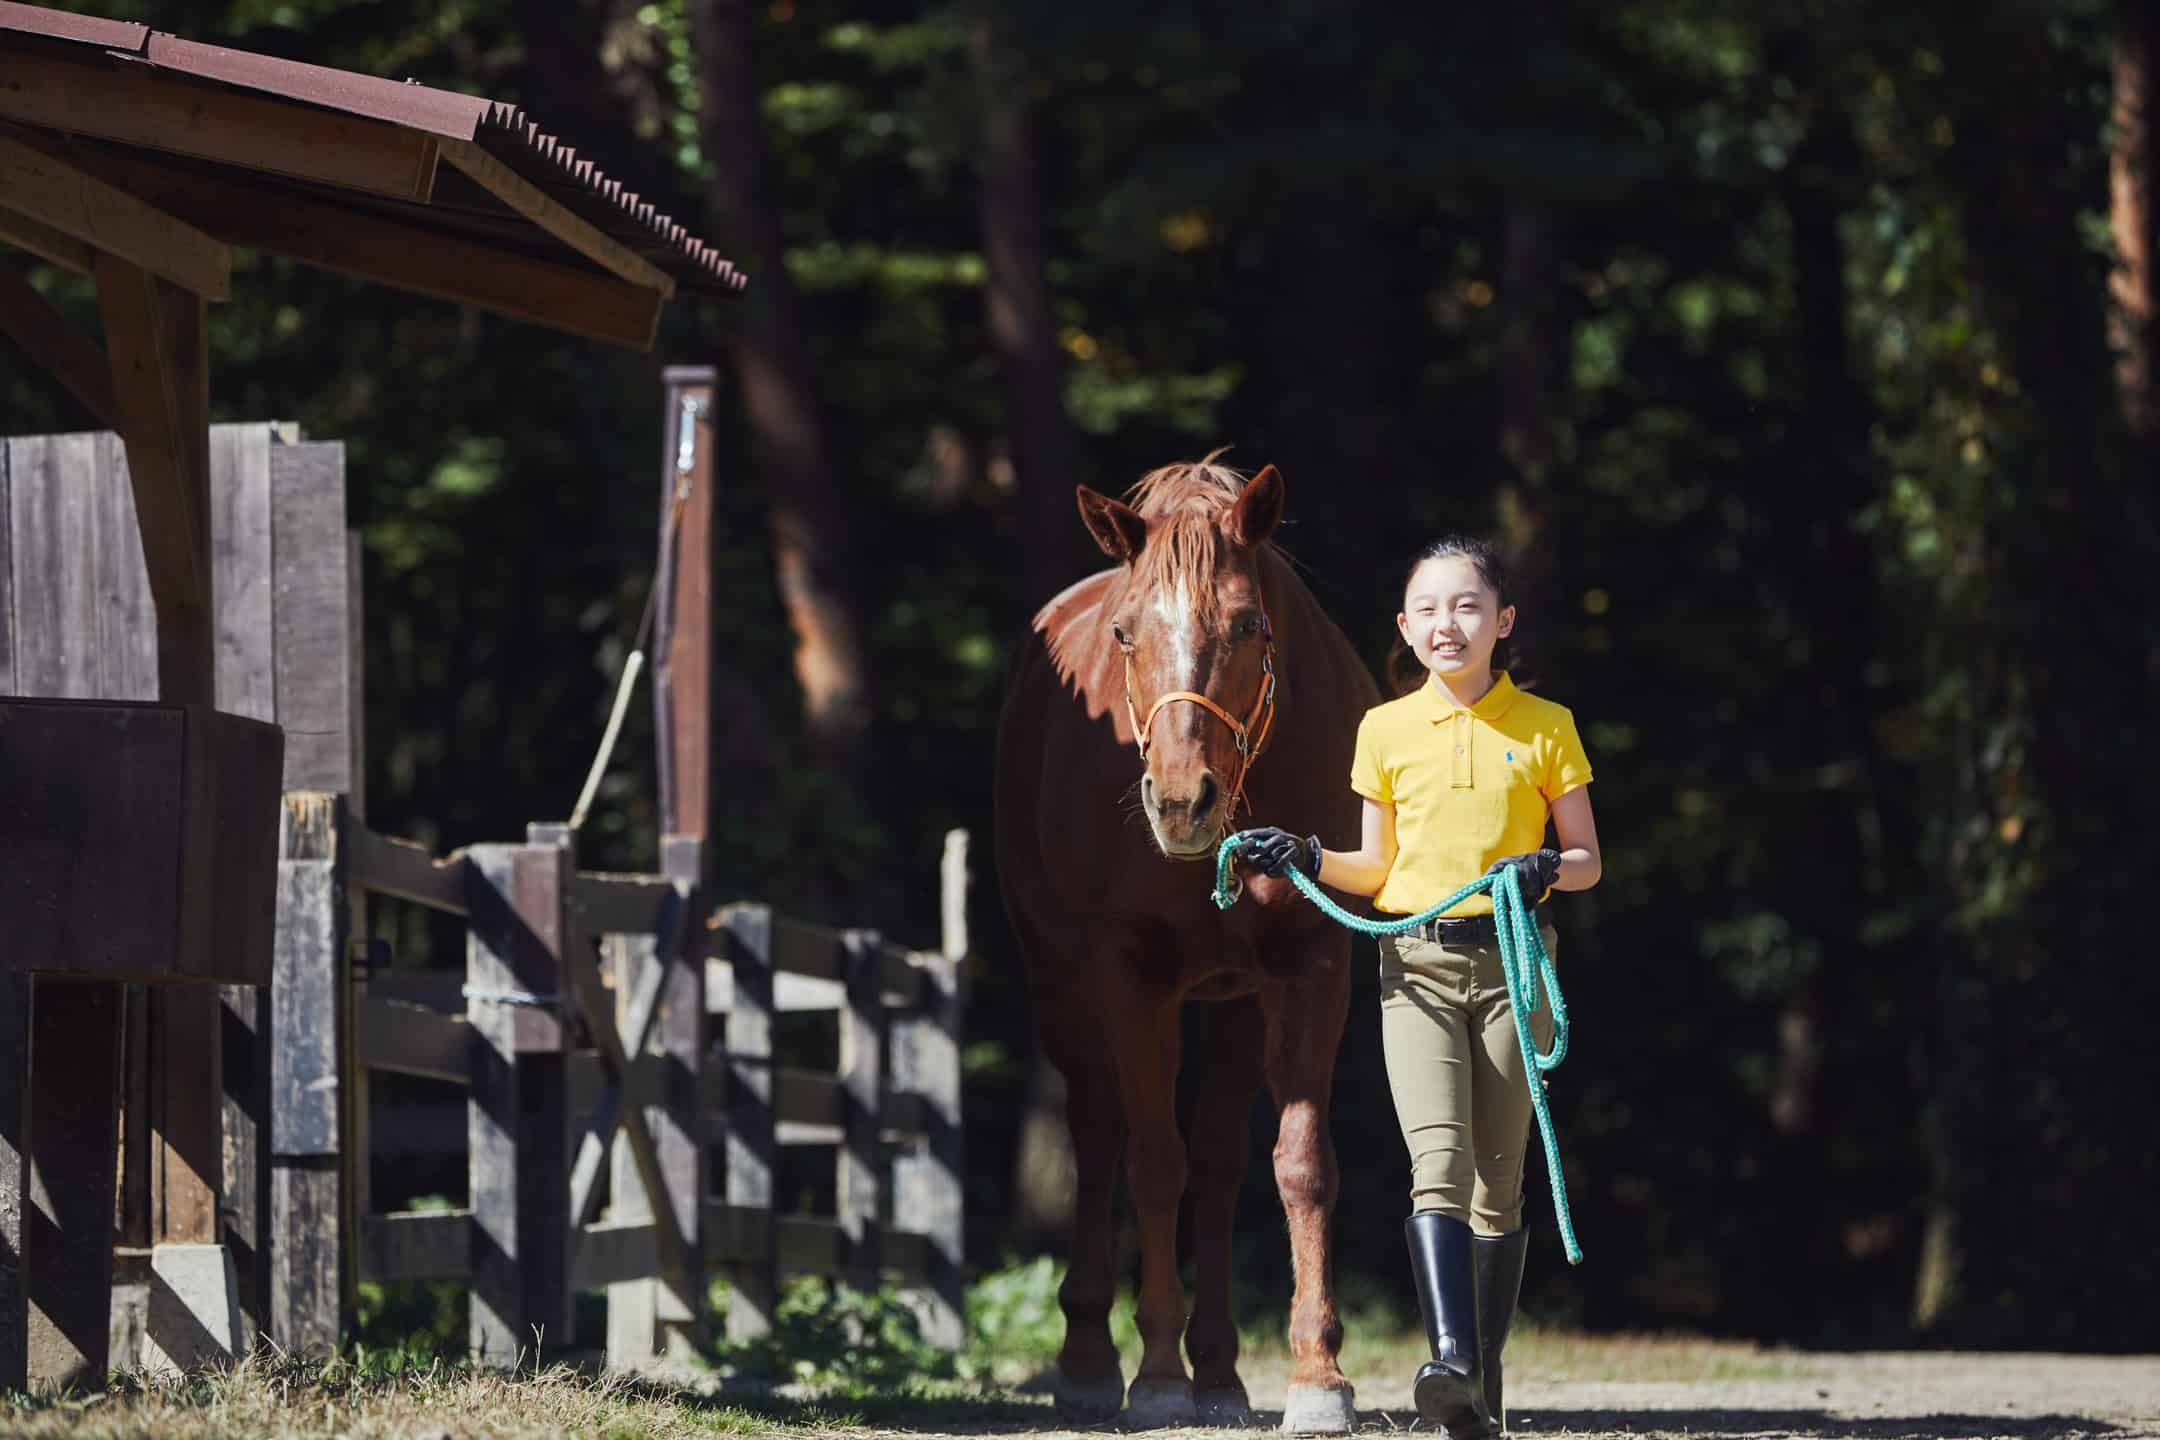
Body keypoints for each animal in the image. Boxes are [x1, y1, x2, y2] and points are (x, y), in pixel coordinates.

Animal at [994, 456, 1380, 1432]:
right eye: (1125, 633)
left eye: (1247, 624)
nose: (1181, 802)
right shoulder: (1131, 977)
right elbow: (1153, 1162)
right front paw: (1157, 1372)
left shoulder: (1313, 970)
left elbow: (1299, 1166)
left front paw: (1318, 1373)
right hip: (1059, 982)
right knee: (1100, 1137)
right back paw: (1093, 1358)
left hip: (1236, 1002)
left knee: (1218, 1161)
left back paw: (1219, 1370)